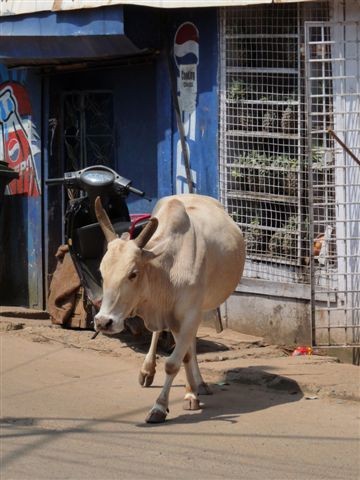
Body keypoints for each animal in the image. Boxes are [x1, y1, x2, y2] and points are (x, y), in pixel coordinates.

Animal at [93, 193, 245, 422]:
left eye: (133, 273)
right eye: (102, 273)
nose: (103, 322)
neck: (167, 269)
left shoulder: (190, 314)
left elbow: (174, 362)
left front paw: (162, 406)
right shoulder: (171, 316)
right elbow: (182, 356)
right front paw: (184, 395)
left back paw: (198, 385)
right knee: (161, 336)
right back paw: (149, 371)